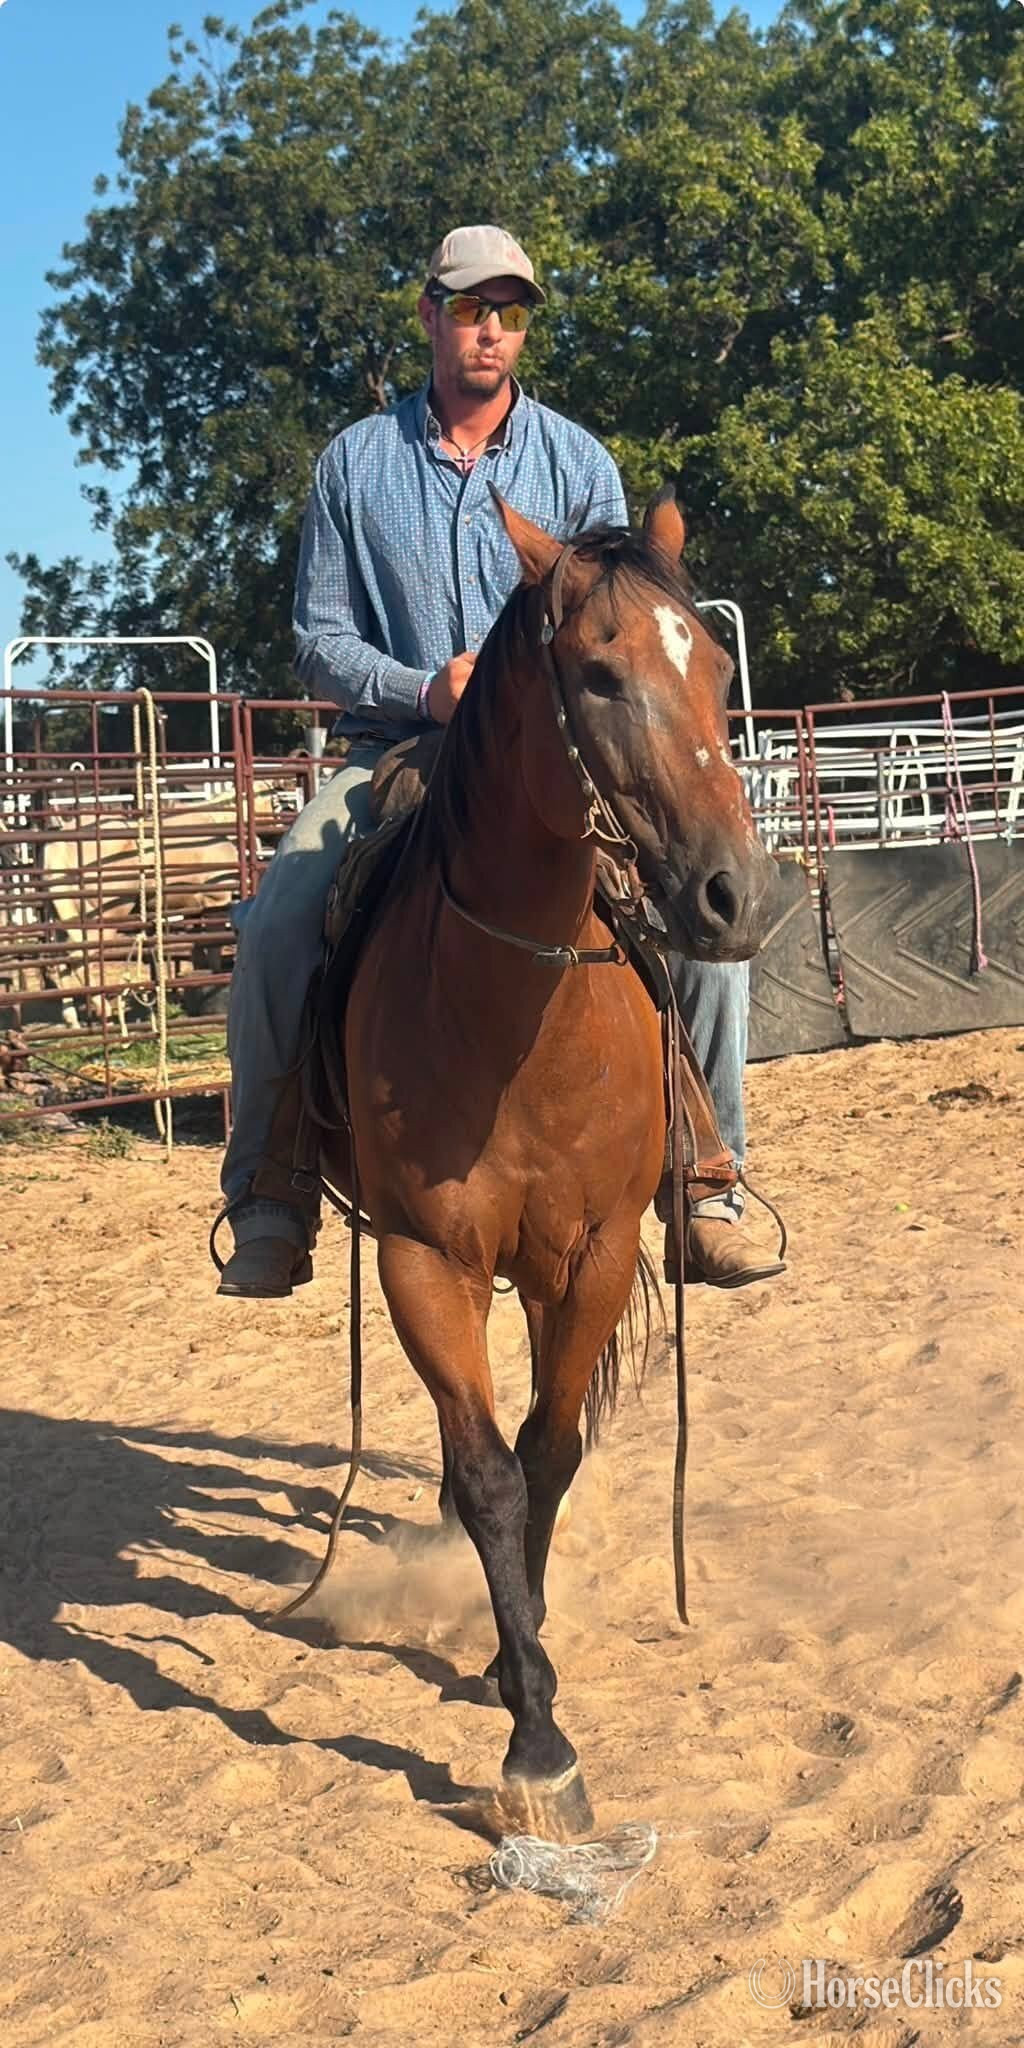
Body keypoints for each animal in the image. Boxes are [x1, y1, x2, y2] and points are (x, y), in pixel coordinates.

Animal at [318, 489, 775, 1836]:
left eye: (715, 664)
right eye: (597, 673)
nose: (733, 893)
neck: (514, 1009)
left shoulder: (596, 1253)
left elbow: (548, 1452)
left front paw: (517, 1661)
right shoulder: (425, 1260)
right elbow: (485, 1474)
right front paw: (537, 1742)